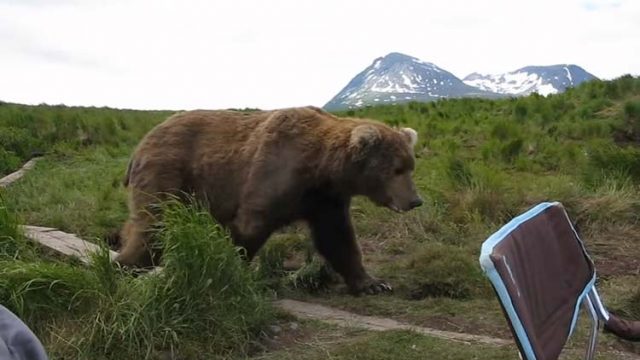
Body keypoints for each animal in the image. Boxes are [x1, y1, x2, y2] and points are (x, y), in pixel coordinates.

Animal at [117, 105, 422, 294]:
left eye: (410, 166)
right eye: (396, 169)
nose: (415, 200)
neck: (322, 169)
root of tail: (139, 145)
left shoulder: (325, 200)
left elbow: (338, 238)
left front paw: (372, 283)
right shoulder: (272, 173)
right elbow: (249, 227)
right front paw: (232, 271)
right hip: (168, 172)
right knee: (154, 225)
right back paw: (125, 266)